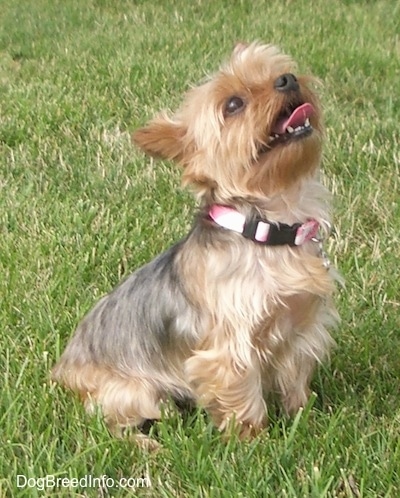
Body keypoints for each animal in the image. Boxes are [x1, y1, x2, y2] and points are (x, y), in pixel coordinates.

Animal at [52, 41, 340, 444]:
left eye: (278, 71)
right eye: (233, 104)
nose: (288, 79)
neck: (270, 226)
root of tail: (64, 371)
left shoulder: (302, 326)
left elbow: (295, 379)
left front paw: (303, 418)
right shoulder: (229, 346)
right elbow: (242, 397)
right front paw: (254, 442)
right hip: (133, 390)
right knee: (111, 424)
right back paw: (147, 445)